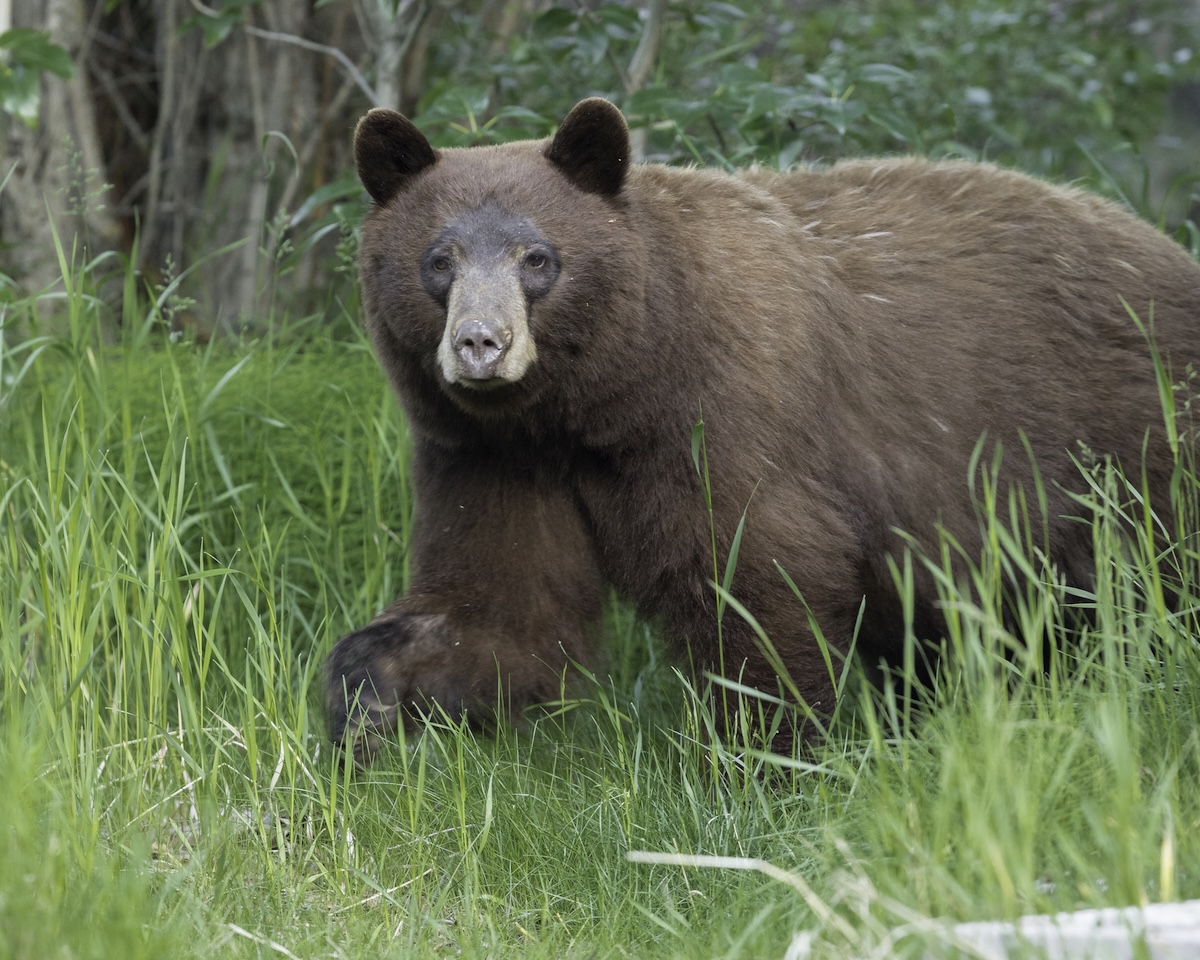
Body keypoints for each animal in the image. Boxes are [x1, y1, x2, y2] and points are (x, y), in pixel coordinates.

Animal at [327, 97, 1200, 764]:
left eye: (536, 258)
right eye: (439, 259)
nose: (481, 343)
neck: (600, 401)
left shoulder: (726, 416)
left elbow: (758, 583)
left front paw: (759, 763)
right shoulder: (493, 458)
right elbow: (500, 610)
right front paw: (363, 709)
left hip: (1134, 449)